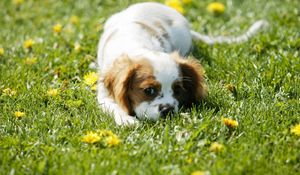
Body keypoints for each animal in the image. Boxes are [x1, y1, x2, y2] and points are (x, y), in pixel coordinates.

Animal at [96, 2, 268, 125]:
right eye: (149, 91)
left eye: (177, 90)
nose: (168, 109)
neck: (138, 45)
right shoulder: (103, 93)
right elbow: (112, 106)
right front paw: (127, 120)